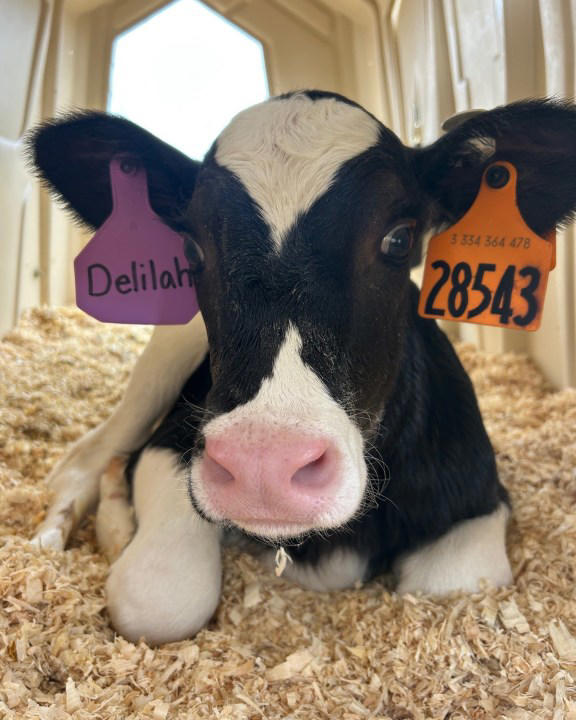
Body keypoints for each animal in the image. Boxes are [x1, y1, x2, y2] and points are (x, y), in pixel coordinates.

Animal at [28, 91, 576, 644]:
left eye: (399, 239)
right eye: (192, 247)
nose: (262, 466)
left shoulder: (475, 498)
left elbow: (454, 586)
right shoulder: (170, 443)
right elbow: (159, 599)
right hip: (161, 366)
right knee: (90, 456)